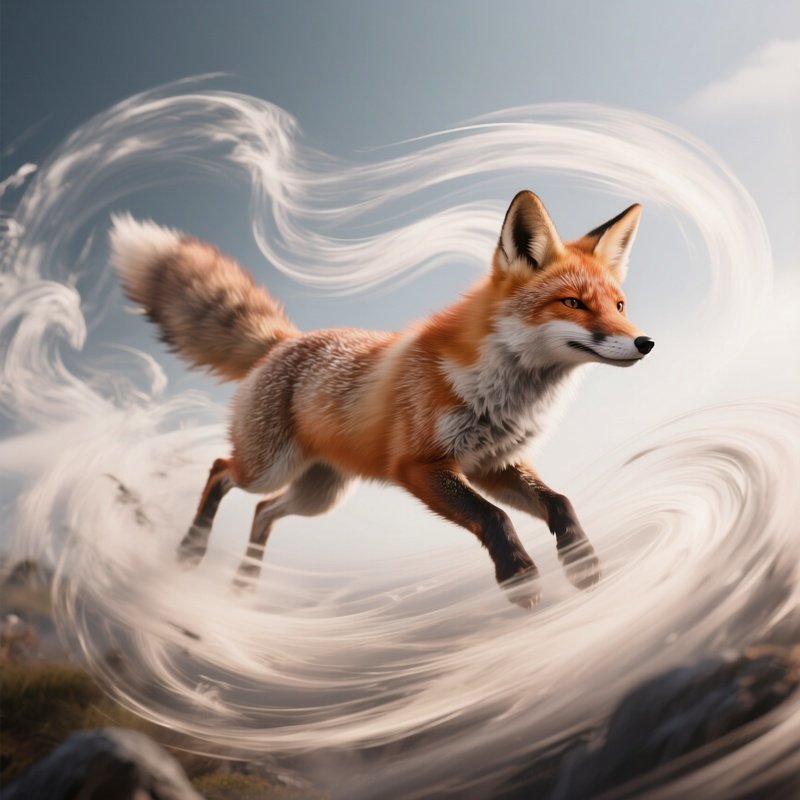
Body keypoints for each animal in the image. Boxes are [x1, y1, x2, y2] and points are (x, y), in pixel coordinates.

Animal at [110, 191, 654, 607]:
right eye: (573, 303)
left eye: (620, 305)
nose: (645, 343)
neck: (505, 393)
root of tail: (285, 340)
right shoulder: (420, 466)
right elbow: (493, 517)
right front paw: (519, 576)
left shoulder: (493, 465)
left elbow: (561, 503)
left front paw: (581, 564)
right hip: (270, 466)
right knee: (221, 469)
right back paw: (191, 549)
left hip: (319, 494)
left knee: (263, 511)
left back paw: (244, 586)